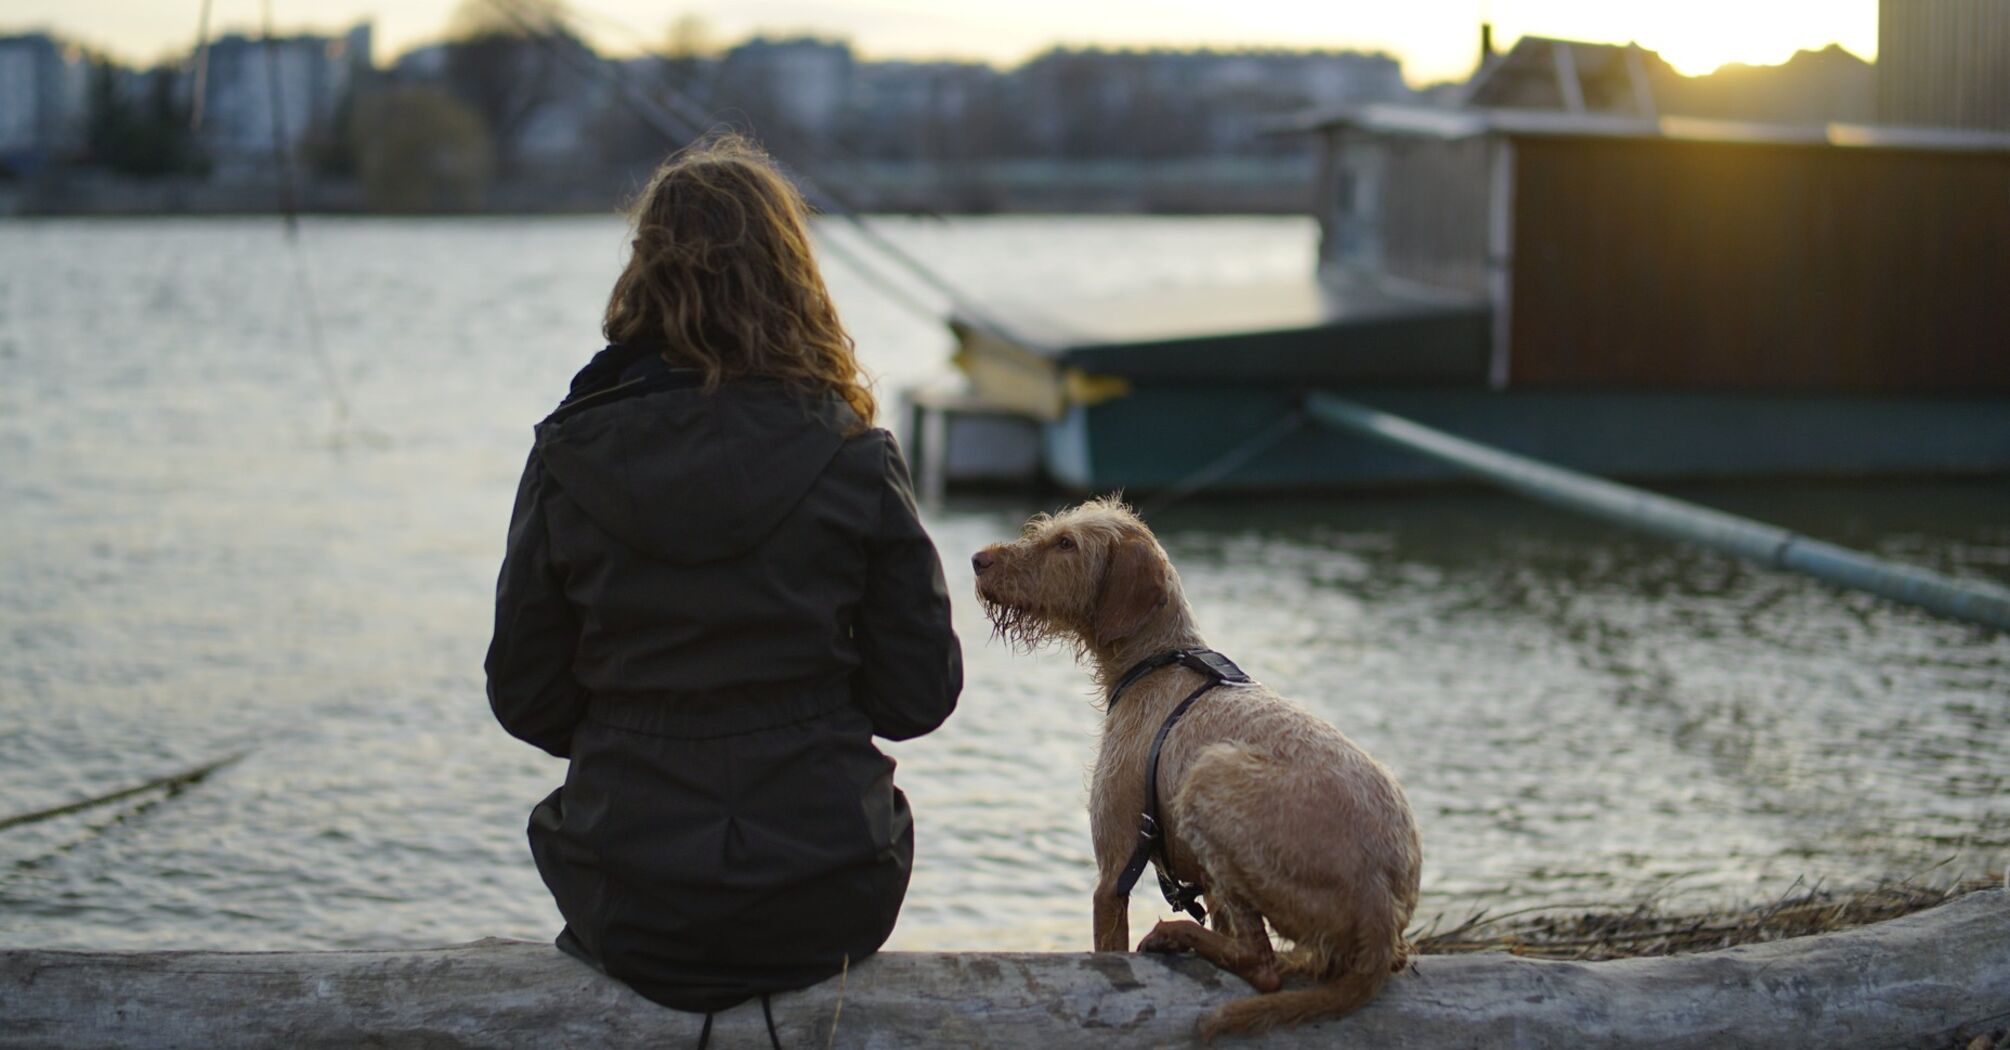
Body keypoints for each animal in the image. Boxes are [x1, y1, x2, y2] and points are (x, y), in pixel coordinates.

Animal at [976, 494, 1431, 1029]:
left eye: (1066, 543)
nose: (979, 560)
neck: (1158, 660)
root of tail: (1380, 910)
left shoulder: (1113, 874)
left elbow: (1110, 948)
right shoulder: (1200, 890)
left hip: (1209, 779)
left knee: (1262, 964)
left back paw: (1177, 937)